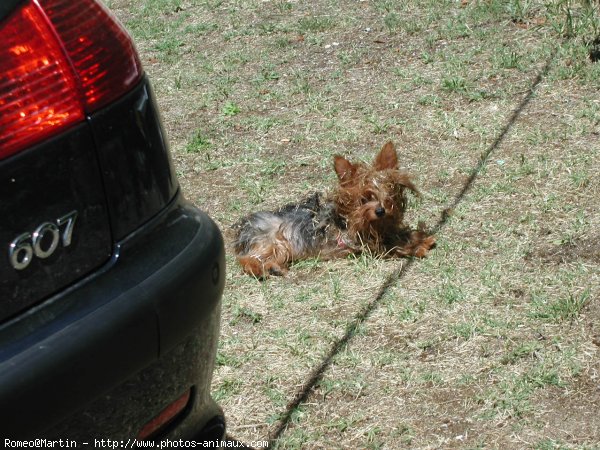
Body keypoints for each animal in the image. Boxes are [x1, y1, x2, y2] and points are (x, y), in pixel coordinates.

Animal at [232, 142, 434, 280]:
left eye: (388, 193)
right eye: (364, 198)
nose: (380, 211)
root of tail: (245, 226)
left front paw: (420, 237)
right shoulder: (364, 244)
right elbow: (392, 246)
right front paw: (417, 246)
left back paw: (274, 267)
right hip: (274, 241)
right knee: (247, 258)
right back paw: (259, 269)